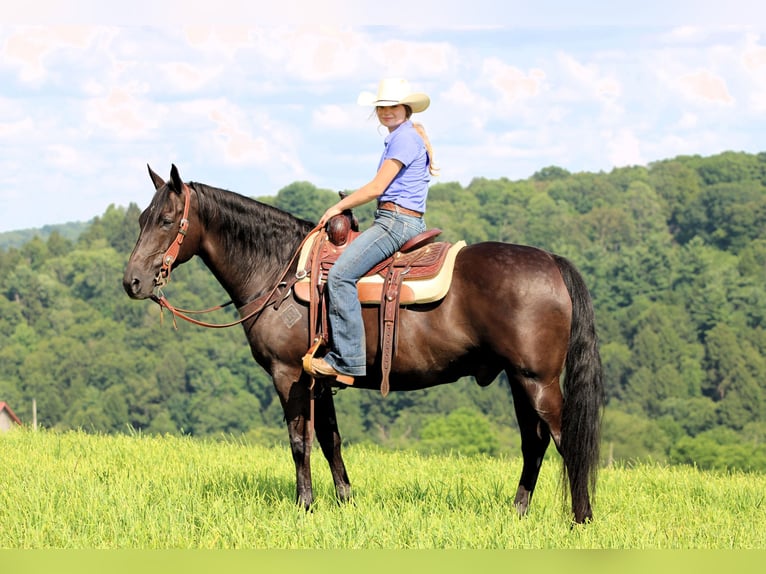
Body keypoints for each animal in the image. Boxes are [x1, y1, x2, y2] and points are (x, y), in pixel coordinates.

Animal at [123, 164, 604, 523]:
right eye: (142, 220)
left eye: (166, 220)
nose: (133, 282)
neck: (281, 272)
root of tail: (552, 262)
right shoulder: (319, 379)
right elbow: (330, 439)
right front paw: (344, 501)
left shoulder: (288, 374)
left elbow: (299, 440)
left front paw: (305, 505)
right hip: (519, 379)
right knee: (534, 443)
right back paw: (518, 512)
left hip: (537, 381)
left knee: (565, 440)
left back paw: (580, 519)